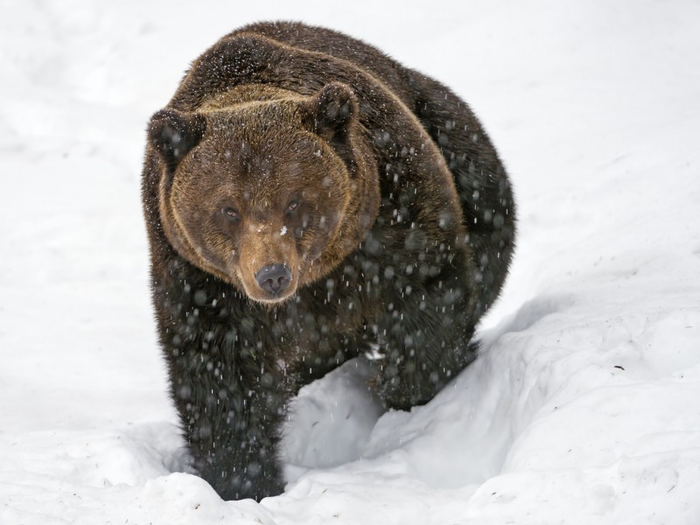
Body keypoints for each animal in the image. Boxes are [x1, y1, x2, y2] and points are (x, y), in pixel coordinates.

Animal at [142, 22, 516, 502]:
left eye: (294, 201)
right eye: (227, 209)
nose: (272, 275)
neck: (319, 279)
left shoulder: (393, 213)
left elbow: (428, 307)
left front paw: (405, 398)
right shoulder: (200, 280)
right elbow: (219, 377)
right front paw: (243, 481)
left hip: (457, 140)